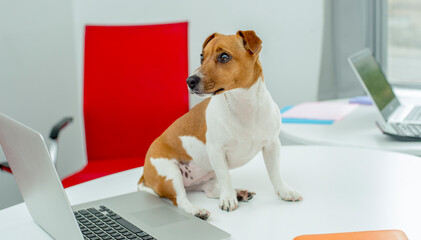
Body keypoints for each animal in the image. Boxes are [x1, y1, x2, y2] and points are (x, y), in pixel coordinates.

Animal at [138, 30, 302, 219]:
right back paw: (198, 210)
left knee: (210, 190)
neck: (243, 104)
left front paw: (284, 191)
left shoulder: (272, 145)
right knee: (180, 200)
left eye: (224, 57)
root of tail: (143, 176)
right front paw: (228, 199)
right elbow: (225, 177)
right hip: (170, 173)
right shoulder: (216, 151)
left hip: (206, 177)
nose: (189, 80)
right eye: (202, 56)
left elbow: (274, 173)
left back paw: (239, 193)